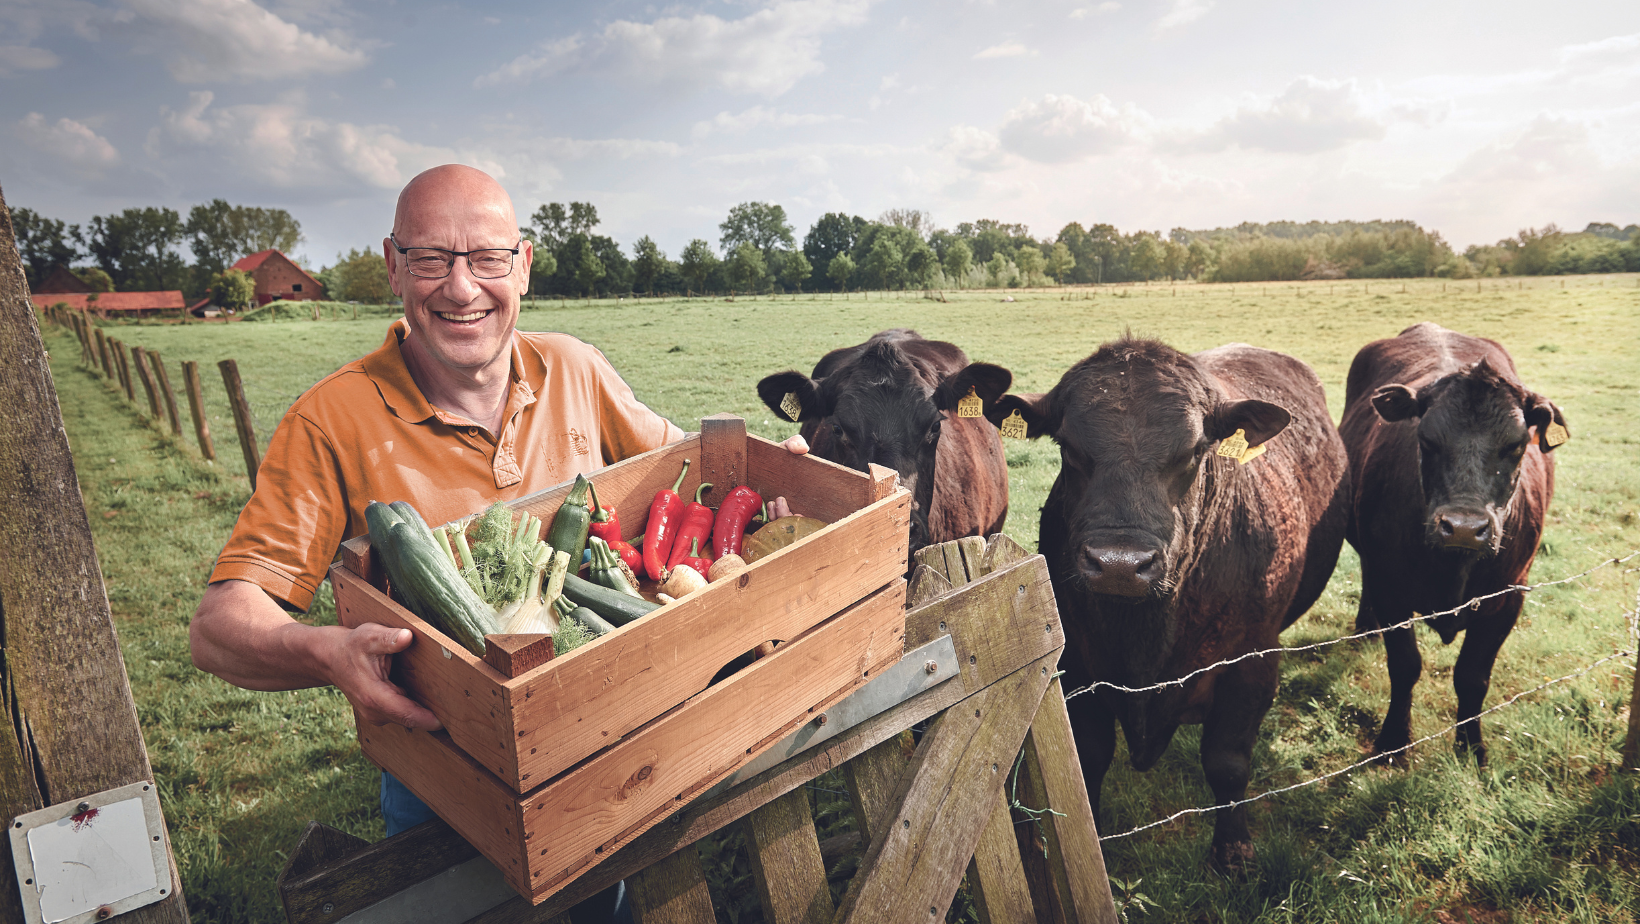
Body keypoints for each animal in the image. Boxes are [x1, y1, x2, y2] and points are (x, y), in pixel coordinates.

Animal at [990, 336, 1351, 873]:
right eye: (1068, 448)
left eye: (1195, 450)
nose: (1119, 563)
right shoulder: (1079, 668)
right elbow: (1089, 759)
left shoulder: (1253, 663)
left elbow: (1227, 763)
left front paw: (1232, 849)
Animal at [1344, 321, 1561, 771]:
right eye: (1426, 439)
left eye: (1516, 444)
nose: (1463, 527)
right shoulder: (1390, 587)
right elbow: (1405, 666)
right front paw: (1392, 742)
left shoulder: (1508, 595)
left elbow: (1473, 677)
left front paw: (1470, 747)